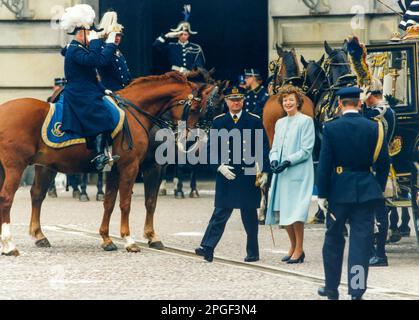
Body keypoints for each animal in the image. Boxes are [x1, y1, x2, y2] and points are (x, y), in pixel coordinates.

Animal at [0, 72, 207, 255]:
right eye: (195, 109)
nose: (192, 140)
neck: (134, 112)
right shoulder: (131, 167)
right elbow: (126, 203)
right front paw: (129, 240)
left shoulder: (115, 169)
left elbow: (109, 202)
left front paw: (107, 239)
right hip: (15, 168)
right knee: (7, 198)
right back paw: (10, 245)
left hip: (36, 167)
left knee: (36, 194)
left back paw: (34, 237)